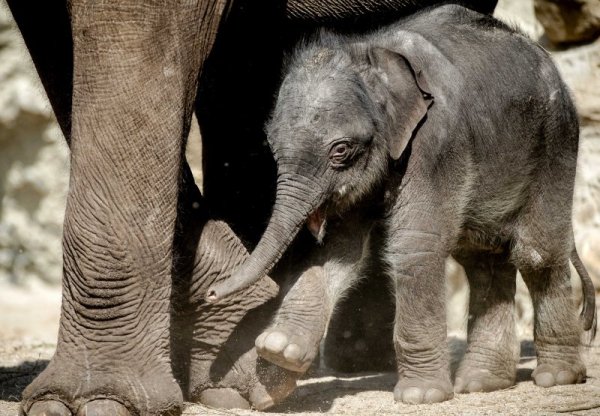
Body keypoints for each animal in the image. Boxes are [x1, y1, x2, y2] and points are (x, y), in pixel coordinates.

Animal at [209, 4, 596, 404]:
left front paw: (420, 396)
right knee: (483, 258)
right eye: (271, 147)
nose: (210, 293)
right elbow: (340, 247)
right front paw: (278, 353)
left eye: (340, 150)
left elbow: (415, 244)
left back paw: (556, 377)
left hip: (555, 141)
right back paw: (482, 383)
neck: (371, 55)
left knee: (536, 252)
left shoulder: (437, 140)